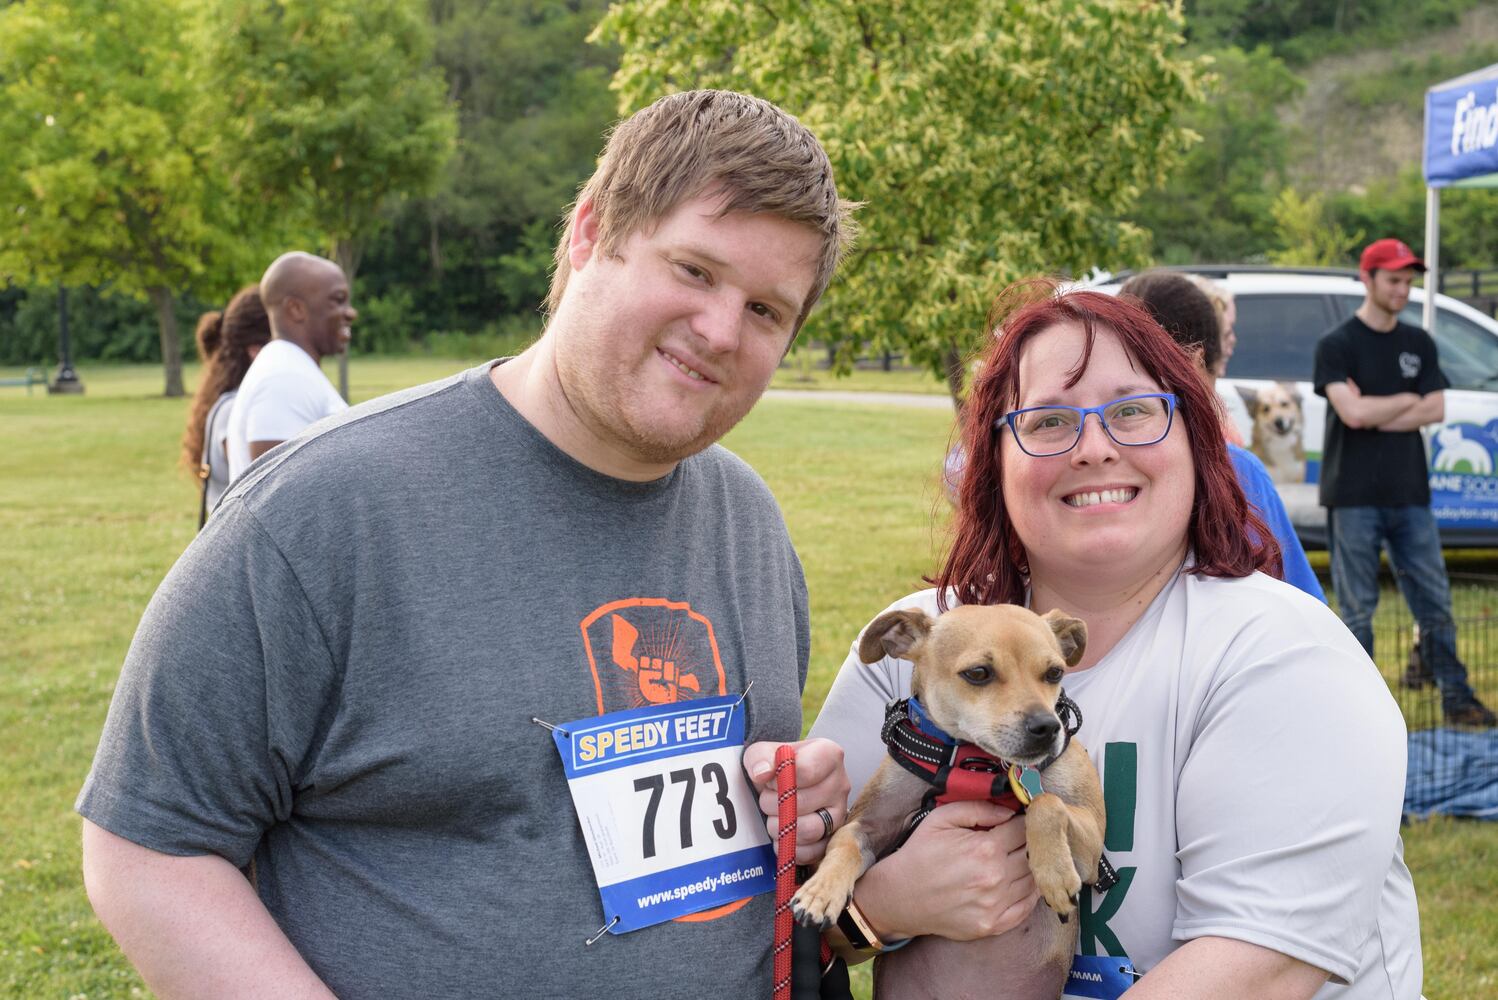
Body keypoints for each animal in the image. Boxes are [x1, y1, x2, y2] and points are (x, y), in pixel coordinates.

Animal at [796, 604, 1102, 994]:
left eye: (1055, 673)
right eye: (978, 673)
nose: (1047, 727)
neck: (978, 764)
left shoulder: (1092, 845)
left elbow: (1046, 804)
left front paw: (1055, 873)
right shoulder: (866, 824)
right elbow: (844, 844)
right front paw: (820, 892)